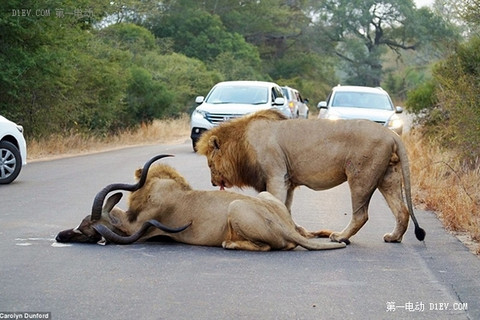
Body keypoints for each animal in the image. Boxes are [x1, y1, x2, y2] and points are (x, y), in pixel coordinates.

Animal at [197, 109, 426, 244]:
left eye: (209, 164)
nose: (212, 182)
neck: (242, 144)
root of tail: (392, 134)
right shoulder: (288, 181)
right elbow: (286, 208)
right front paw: (297, 231)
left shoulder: (276, 175)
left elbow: (276, 203)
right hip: (388, 177)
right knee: (402, 211)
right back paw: (393, 237)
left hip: (361, 176)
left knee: (361, 214)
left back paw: (340, 237)